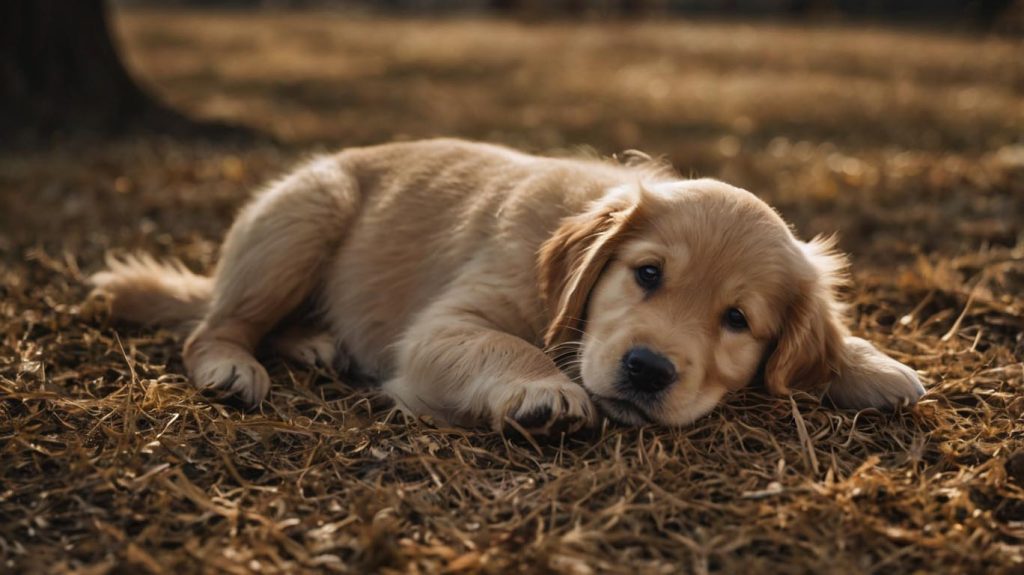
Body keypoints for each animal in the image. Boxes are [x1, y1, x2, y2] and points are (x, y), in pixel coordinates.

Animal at [90, 139, 929, 431]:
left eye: (736, 320)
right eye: (647, 273)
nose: (646, 369)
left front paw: (869, 365)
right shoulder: (441, 330)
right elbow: (507, 348)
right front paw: (546, 391)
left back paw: (318, 343)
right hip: (306, 215)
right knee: (214, 325)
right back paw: (235, 365)